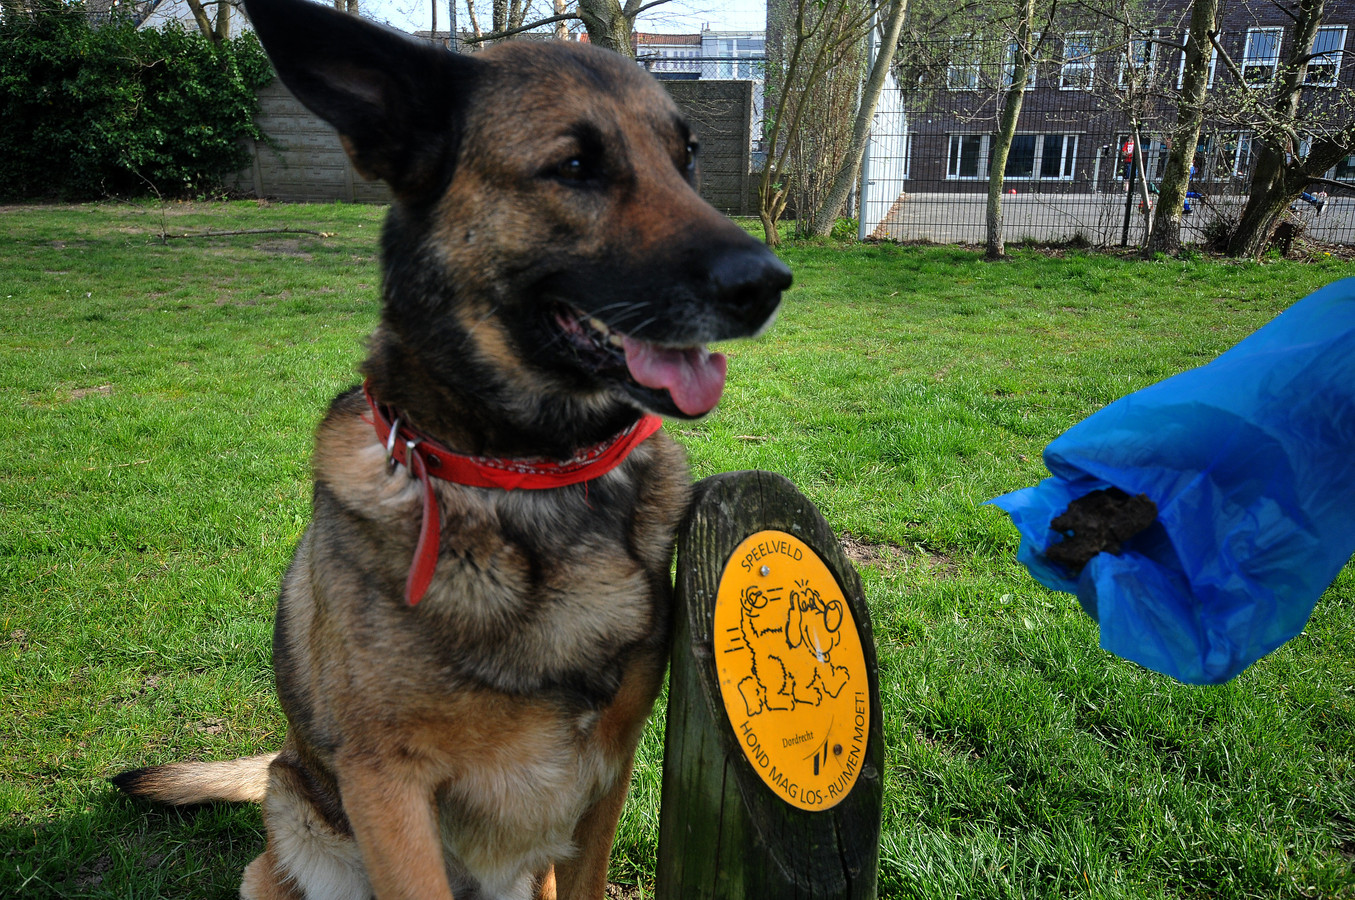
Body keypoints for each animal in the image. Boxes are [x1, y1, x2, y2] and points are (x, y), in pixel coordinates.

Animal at [116, 1, 791, 900]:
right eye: (574, 166)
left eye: (685, 159)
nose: (769, 283)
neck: (529, 478)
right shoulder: (387, 787)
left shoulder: (606, 774)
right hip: (298, 824)